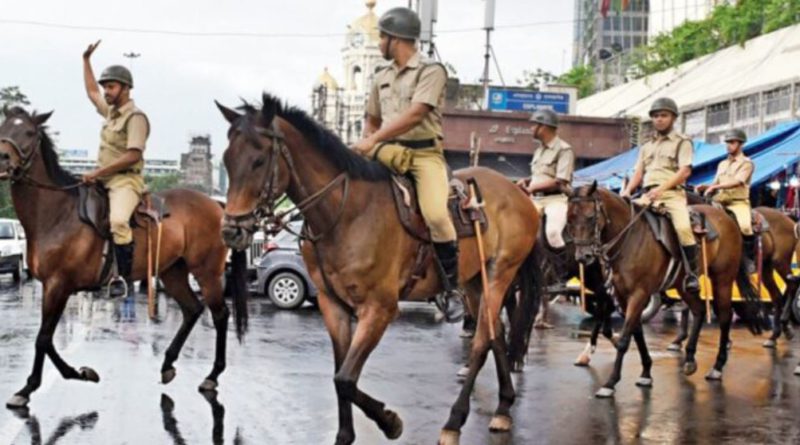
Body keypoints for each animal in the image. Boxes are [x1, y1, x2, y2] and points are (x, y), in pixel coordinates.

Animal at [0, 106, 248, 406]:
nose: (2, 159)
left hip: (207, 272)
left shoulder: (58, 285)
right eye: (2, 128)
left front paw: (36, 386)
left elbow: (43, 338)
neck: (56, 213)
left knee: (220, 315)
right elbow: (46, 339)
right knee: (192, 309)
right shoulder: (54, 287)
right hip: (172, 271)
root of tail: (215, 203)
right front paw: (76, 373)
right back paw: (168, 364)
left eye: (28, 132)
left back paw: (212, 375)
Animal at [216, 94, 540, 444]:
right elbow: (340, 373)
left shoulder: (379, 309)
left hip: (500, 273)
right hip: (473, 280)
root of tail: (519, 192)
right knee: (497, 335)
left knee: (482, 341)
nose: (231, 231)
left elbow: (345, 379)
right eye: (227, 161)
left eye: (259, 161)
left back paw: (454, 422)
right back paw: (504, 408)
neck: (344, 215)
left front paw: (390, 421)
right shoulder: (333, 306)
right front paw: (345, 435)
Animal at [564, 182, 760, 398]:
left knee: (725, 316)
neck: (629, 240)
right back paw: (689, 358)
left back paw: (717, 366)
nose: (583, 256)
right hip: (683, 284)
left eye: (591, 217)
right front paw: (646, 372)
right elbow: (636, 331)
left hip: (722, 279)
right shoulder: (623, 295)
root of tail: (727, 217)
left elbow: (624, 338)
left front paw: (610, 382)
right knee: (699, 310)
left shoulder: (640, 294)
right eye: (569, 219)